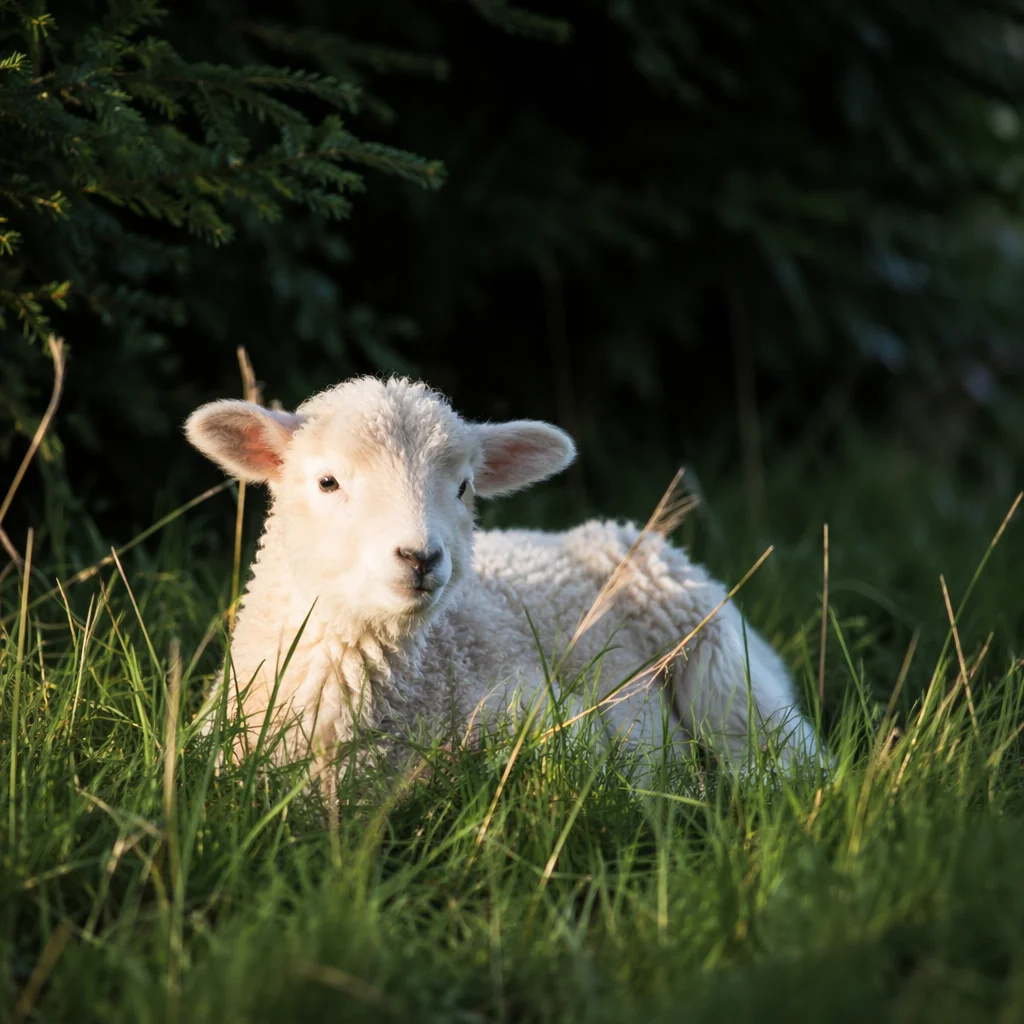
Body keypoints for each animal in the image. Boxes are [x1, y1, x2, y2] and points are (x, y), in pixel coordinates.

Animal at [184, 375, 826, 788]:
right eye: (327, 482)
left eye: (464, 486)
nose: (420, 557)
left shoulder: (548, 716)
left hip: (717, 657)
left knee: (776, 752)